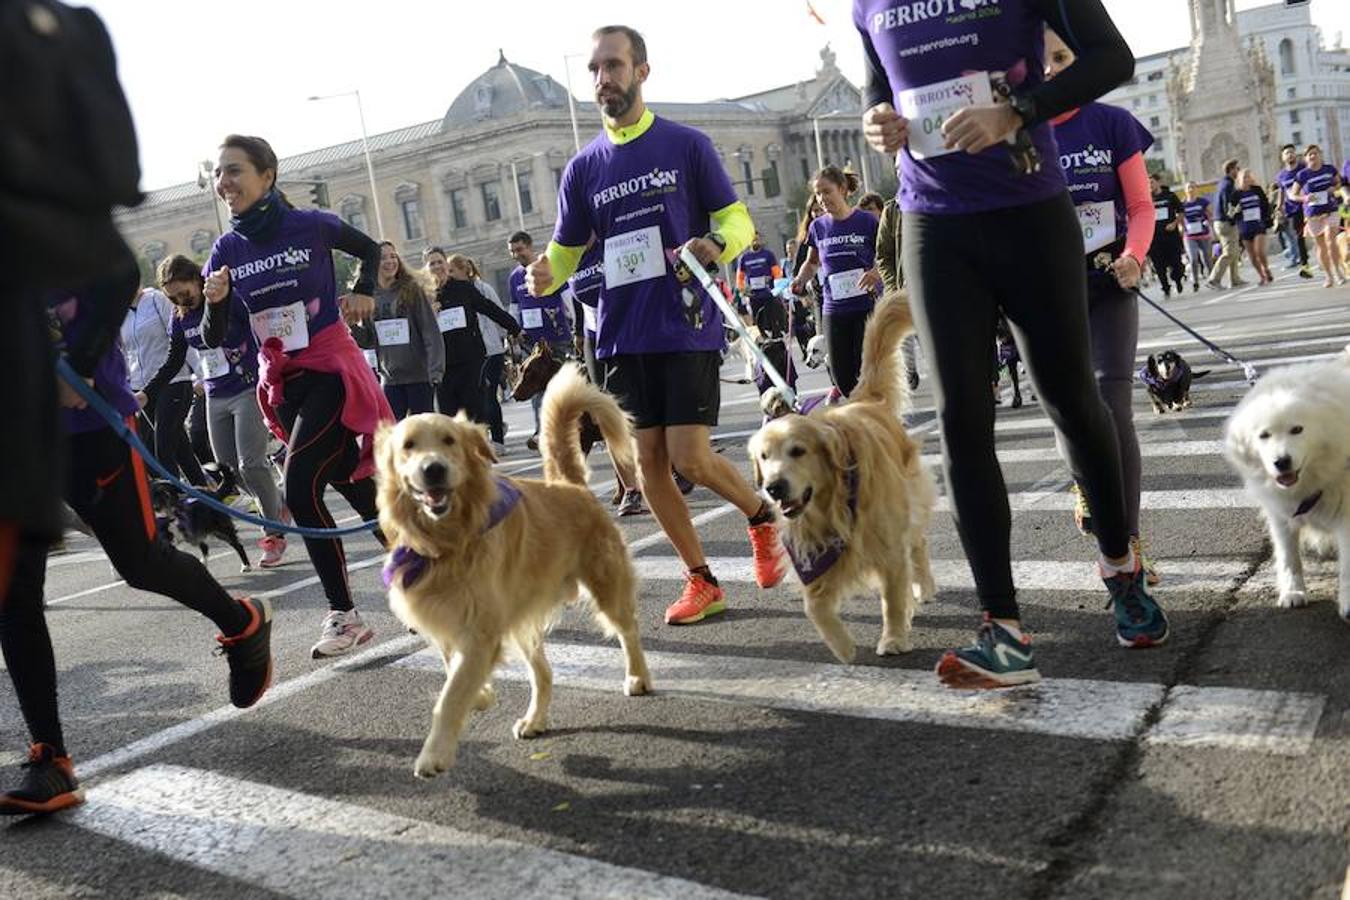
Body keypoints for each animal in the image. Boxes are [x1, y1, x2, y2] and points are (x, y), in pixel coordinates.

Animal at [378, 361, 650, 777]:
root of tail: (568, 484)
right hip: (521, 620)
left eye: (449, 441)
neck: (449, 542)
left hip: (606, 585)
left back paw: (637, 677)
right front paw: (482, 696)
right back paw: (534, 720)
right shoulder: (449, 622)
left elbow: (450, 694)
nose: (433, 470)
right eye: (408, 446)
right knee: (544, 674)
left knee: (628, 631)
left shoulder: (479, 630)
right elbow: (452, 671)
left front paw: (435, 753)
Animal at [745, 295, 934, 661]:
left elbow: (892, 597)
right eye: (764, 457)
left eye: (798, 451)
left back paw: (925, 587)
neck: (832, 500)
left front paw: (893, 638)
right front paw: (843, 647)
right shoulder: (812, 549)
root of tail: (865, 401)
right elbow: (814, 607)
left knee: (918, 544)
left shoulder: (888, 544)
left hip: (911, 499)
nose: (774, 488)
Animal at [1225, 348, 1350, 623]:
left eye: (1297, 429)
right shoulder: (1280, 514)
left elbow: (1348, 566)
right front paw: (1293, 592)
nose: (1281, 462)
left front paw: (1349, 604)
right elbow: (1288, 557)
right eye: (1264, 435)